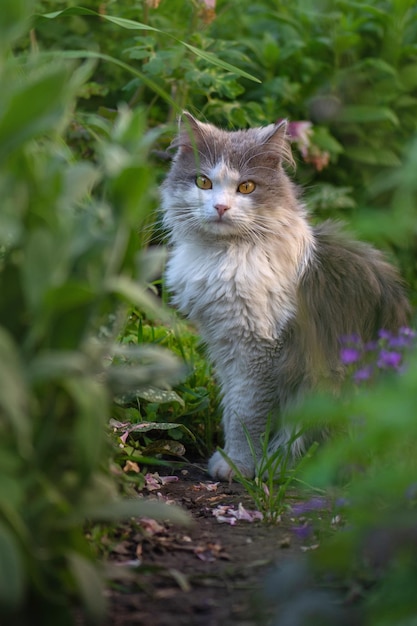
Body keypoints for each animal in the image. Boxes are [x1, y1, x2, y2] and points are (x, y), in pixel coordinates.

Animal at [160, 112, 410, 480]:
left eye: (246, 187)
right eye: (203, 182)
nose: (220, 207)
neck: (224, 254)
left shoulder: (257, 348)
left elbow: (245, 414)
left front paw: (238, 465)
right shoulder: (225, 345)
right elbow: (231, 406)